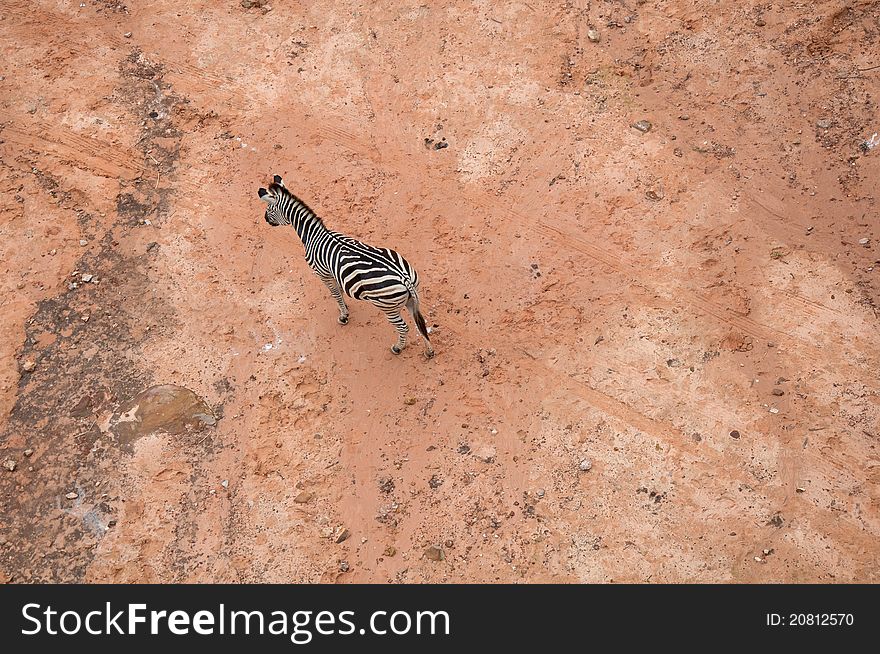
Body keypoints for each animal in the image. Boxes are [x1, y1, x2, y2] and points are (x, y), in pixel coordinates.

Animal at [256, 176, 434, 358]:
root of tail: (404, 279)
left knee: (404, 327)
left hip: (388, 306)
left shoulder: (322, 273)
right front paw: (345, 309)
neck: (314, 235)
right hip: (410, 299)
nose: (265, 219)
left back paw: (398, 348)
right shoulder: (334, 271)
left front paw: (343, 317)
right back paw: (429, 351)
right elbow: (340, 292)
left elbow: (334, 293)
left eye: (269, 208)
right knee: (420, 323)